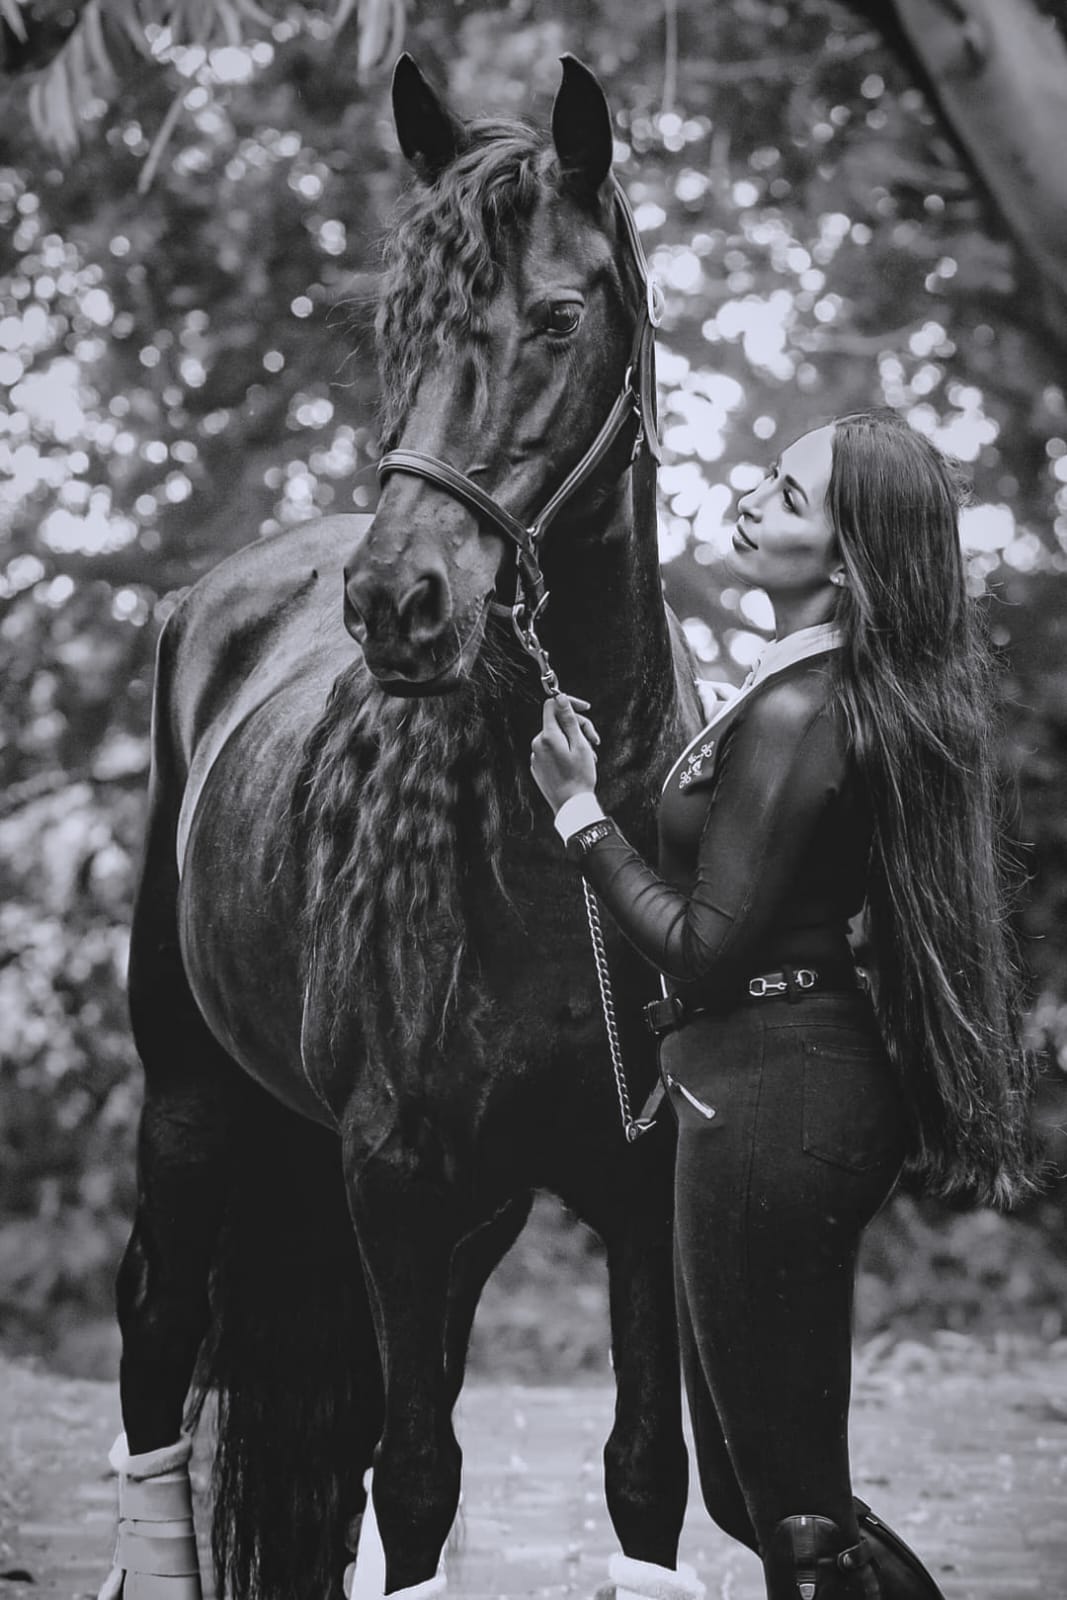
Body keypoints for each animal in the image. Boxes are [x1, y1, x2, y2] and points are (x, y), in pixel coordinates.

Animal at [111, 52, 704, 1600]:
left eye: (556, 317)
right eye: (401, 327)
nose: (396, 602)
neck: (557, 862)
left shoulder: (639, 1186)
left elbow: (642, 1474)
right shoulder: (394, 1179)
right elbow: (418, 1477)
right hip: (193, 1103)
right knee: (156, 1339)